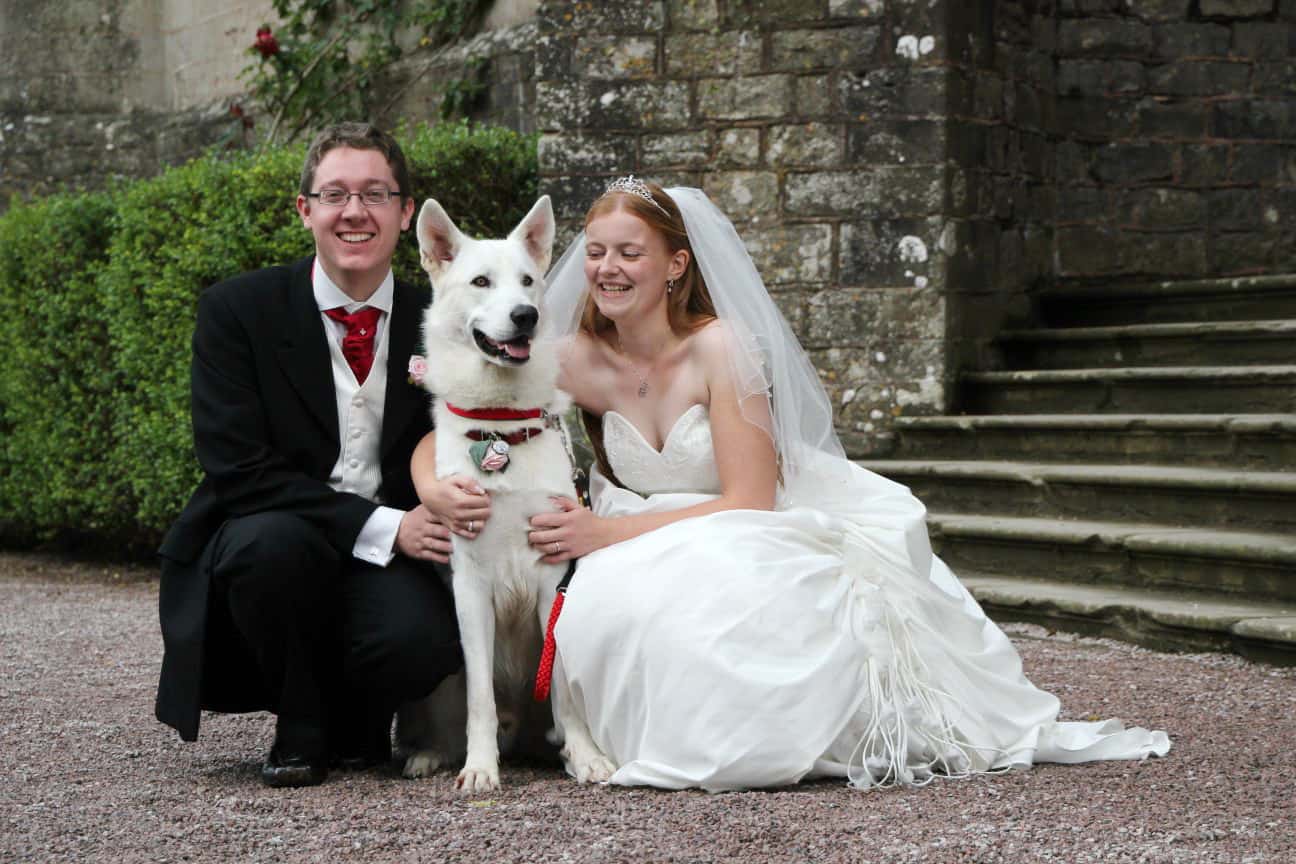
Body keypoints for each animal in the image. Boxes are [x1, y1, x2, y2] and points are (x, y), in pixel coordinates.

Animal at [396, 194, 614, 792]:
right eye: (481, 281)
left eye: (527, 282)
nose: (525, 316)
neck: (500, 426)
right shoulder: (470, 586)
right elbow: (479, 701)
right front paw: (479, 768)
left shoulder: (550, 579)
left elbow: (561, 682)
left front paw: (586, 756)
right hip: (441, 672)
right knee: (452, 715)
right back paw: (433, 755)